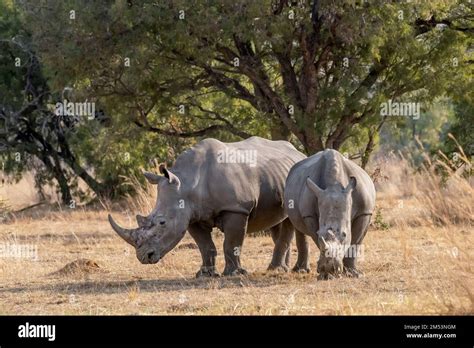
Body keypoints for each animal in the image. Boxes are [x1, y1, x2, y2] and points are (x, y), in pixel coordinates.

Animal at [108, 136, 308, 278]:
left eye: (162, 223)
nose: (144, 257)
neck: (187, 183)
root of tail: (298, 153)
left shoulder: (236, 208)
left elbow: (231, 243)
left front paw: (234, 274)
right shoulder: (191, 216)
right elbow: (205, 245)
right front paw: (205, 274)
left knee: (292, 221)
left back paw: (288, 270)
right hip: (277, 175)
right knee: (276, 221)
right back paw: (282, 269)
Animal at [284, 148, 376, 278]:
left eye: (344, 235)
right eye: (319, 234)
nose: (330, 269)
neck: (334, 186)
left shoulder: (364, 212)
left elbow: (355, 242)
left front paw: (353, 273)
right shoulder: (309, 214)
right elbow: (318, 240)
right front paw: (326, 275)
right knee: (298, 226)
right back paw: (301, 270)